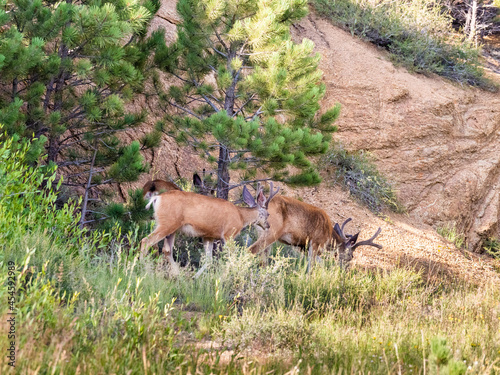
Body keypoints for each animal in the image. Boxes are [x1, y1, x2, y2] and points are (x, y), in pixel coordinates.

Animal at [141, 181, 280, 276]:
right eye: (268, 214)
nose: (268, 225)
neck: (241, 216)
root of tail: (157, 198)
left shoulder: (209, 236)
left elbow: (209, 260)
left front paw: (196, 278)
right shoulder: (229, 233)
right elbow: (232, 257)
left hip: (172, 227)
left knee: (166, 250)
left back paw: (178, 275)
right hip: (167, 223)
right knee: (146, 241)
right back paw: (142, 268)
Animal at [248, 195, 380, 268]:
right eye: (351, 255)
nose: (346, 269)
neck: (329, 236)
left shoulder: (304, 247)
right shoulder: (315, 243)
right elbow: (311, 266)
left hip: (262, 232)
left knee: (262, 259)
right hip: (272, 232)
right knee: (251, 250)